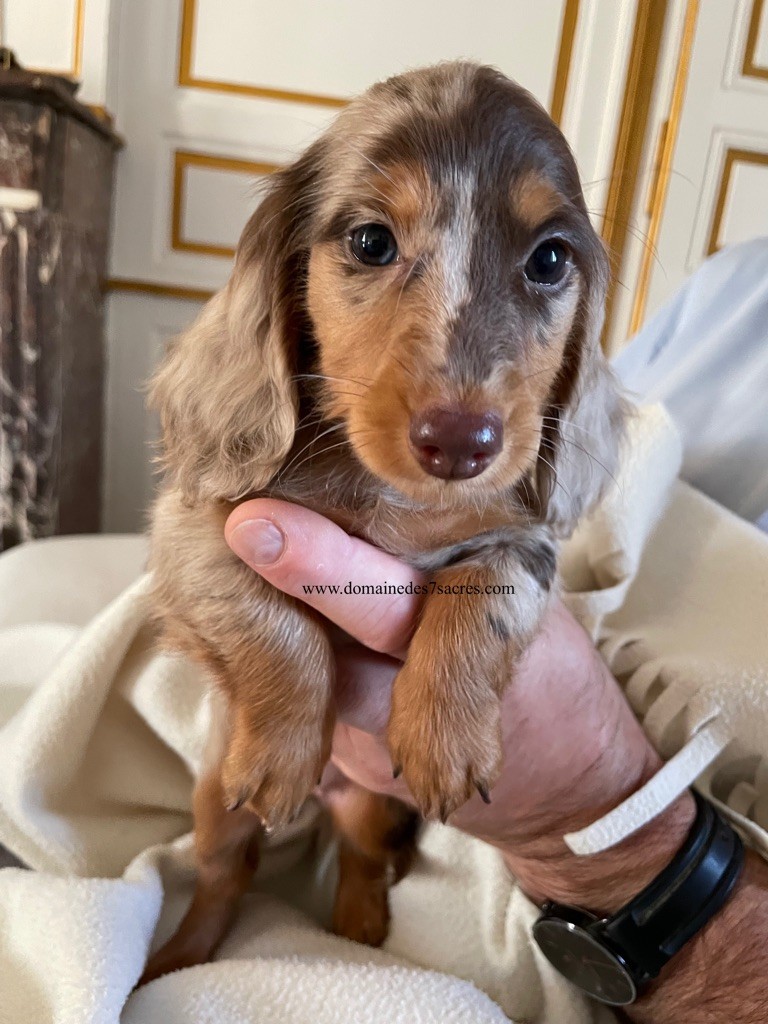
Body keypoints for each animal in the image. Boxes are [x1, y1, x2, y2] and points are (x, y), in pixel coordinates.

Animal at [141, 60, 627, 981]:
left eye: (550, 259)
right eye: (370, 242)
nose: (461, 443)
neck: (393, 498)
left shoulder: (523, 542)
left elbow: (486, 591)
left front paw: (444, 736)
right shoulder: (199, 534)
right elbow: (273, 626)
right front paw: (286, 749)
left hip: (371, 804)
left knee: (362, 857)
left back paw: (358, 931)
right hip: (215, 804)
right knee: (226, 873)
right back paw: (179, 956)